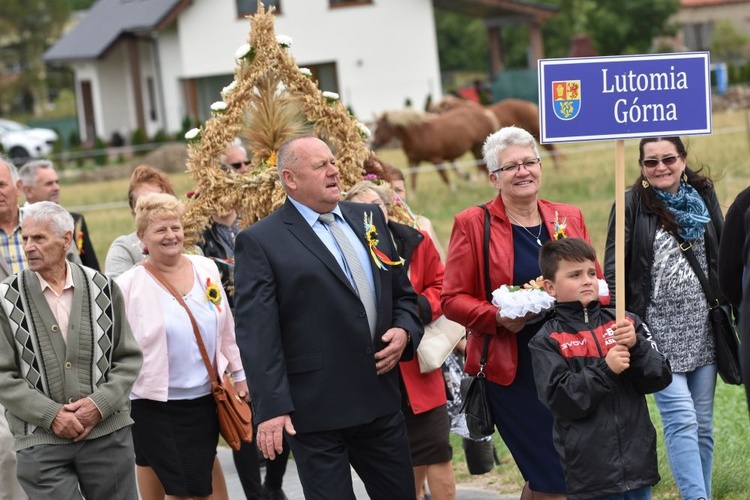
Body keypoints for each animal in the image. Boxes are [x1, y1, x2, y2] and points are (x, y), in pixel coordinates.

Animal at [372, 103, 500, 191]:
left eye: (379, 128)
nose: (373, 144)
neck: (419, 133)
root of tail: (486, 113)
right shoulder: (413, 161)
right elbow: (413, 179)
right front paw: (412, 197)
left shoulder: (436, 159)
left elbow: (444, 176)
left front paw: (453, 190)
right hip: (474, 148)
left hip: (477, 147)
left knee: (481, 166)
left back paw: (476, 181)